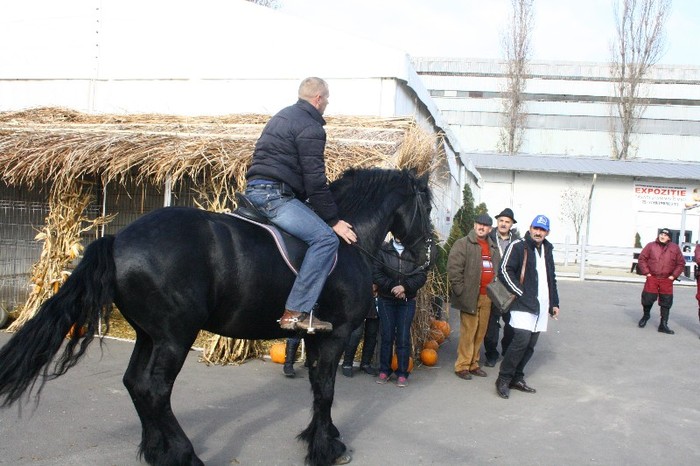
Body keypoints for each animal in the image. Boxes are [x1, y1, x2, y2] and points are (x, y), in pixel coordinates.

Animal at [0, 167, 432, 466]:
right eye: (426, 206)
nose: (423, 256)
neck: (347, 240)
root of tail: (119, 239)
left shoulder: (315, 337)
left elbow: (316, 388)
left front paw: (320, 437)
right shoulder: (334, 335)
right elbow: (325, 390)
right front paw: (327, 448)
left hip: (149, 335)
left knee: (135, 384)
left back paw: (157, 451)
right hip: (175, 337)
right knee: (156, 390)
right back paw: (184, 454)